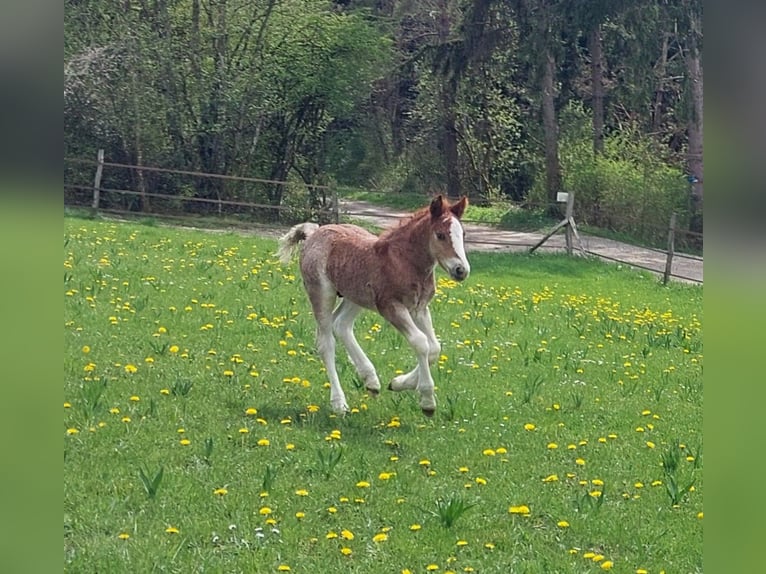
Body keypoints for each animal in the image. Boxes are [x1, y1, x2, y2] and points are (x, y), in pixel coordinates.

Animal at [277, 194, 470, 417]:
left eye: (463, 234)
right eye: (440, 235)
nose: (461, 270)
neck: (403, 261)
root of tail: (313, 233)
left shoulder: (419, 308)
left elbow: (434, 348)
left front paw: (399, 383)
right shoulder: (391, 307)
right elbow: (421, 343)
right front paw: (427, 400)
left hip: (355, 296)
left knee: (341, 324)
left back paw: (370, 380)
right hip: (322, 293)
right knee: (326, 342)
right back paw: (339, 403)